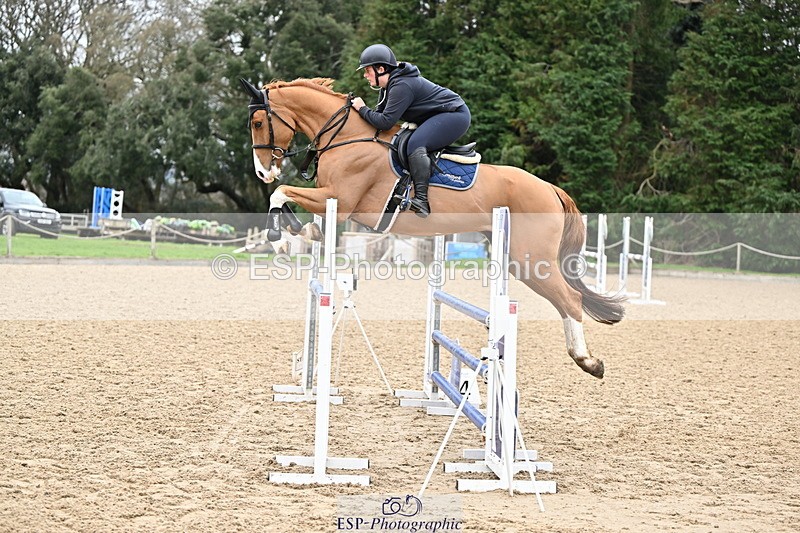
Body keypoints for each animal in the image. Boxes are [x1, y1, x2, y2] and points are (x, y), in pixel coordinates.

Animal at [240, 77, 625, 379]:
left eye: (257, 122)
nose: (262, 171)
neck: (348, 136)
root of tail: (550, 189)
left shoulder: (341, 200)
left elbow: (280, 193)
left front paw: (279, 239)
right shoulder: (333, 201)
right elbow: (290, 202)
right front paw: (301, 233)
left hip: (531, 259)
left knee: (571, 299)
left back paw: (588, 361)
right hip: (519, 258)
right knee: (564, 298)